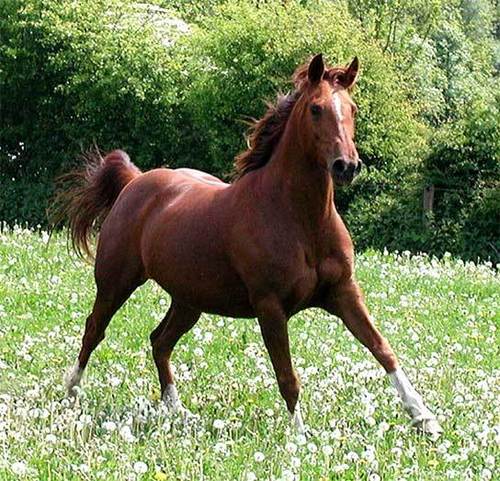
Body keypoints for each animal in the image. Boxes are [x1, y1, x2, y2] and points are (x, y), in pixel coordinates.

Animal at [55, 53, 442, 436]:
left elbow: (383, 349)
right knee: (94, 329)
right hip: (116, 283)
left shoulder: (344, 292)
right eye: (316, 109)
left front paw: (425, 418)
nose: (346, 166)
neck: (301, 220)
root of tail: (135, 181)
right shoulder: (270, 306)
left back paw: (178, 411)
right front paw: (299, 438)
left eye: (353, 108)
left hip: (189, 300)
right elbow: (288, 377)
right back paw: (71, 394)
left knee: (160, 341)